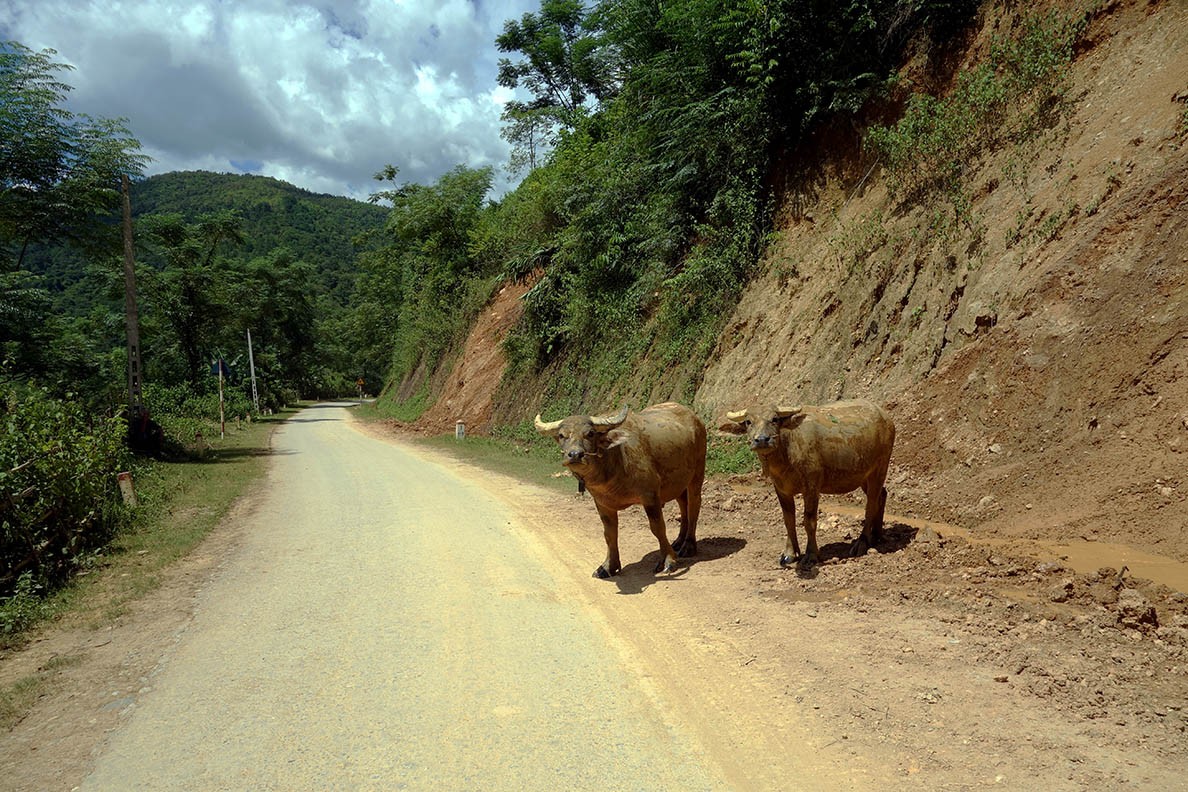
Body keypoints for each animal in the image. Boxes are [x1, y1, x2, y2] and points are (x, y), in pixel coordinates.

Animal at [536, 403, 703, 577]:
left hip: (697, 473)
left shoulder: (650, 495)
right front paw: (608, 566)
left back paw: (688, 546)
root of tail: (695, 418)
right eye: (562, 435)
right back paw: (679, 541)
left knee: (694, 506)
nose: (575, 455)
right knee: (683, 505)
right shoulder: (602, 503)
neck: (616, 461)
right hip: (678, 483)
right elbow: (609, 534)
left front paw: (669, 561)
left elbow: (658, 528)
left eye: (590, 433)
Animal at [717, 403, 893, 569]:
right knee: (882, 495)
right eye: (748, 422)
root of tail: (885, 417)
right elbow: (788, 520)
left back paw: (862, 542)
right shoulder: (781, 489)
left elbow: (809, 521)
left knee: (871, 504)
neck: (786, 453)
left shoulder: (812, 487)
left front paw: (811, 555)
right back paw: (877, 534)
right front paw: (789, 554)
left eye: (774, 419)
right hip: (864, 476)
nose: (761, 440)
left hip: (880, 467)